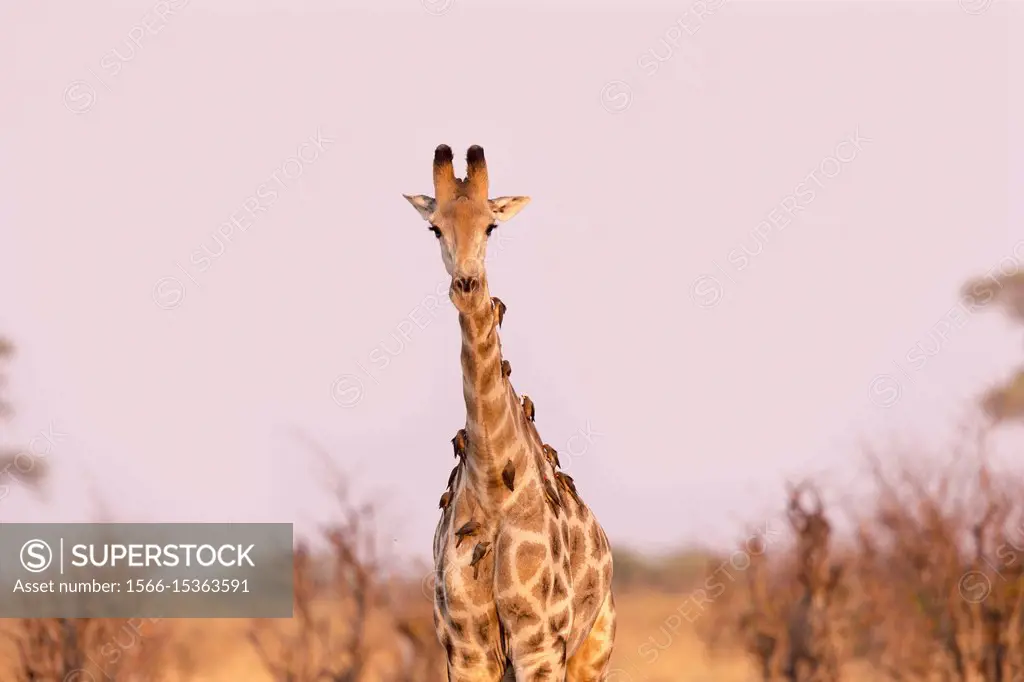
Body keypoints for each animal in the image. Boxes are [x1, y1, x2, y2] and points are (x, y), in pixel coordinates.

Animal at [403, 144, 614, 679]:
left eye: (491, 226)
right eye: (435, 227)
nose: (467, 285)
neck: (494, 486)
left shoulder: (539, 643)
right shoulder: (467, 647)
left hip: (593, 648)